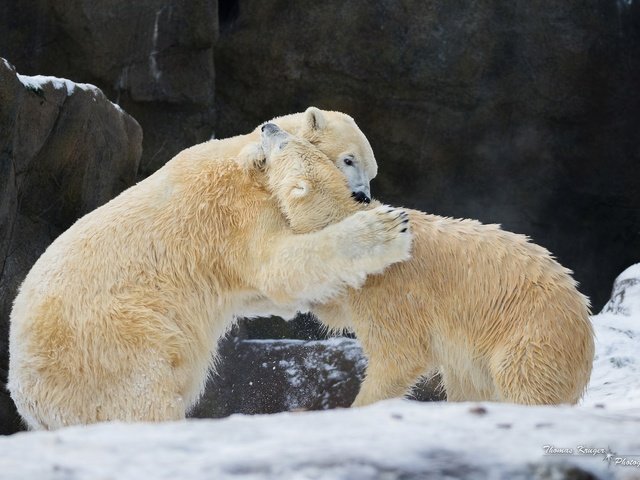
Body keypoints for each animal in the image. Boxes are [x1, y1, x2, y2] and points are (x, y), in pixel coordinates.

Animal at [7, 114, 410, 430]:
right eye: (349, 160)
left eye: (371, 171)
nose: (362, 196)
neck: (252, 158)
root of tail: (27, 398)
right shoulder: (239, 209)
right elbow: (278, 266)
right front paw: (388, 229)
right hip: (115, 341)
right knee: (142, 399)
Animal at [255, 127, 596, 404]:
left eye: (284, 143)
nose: (268, 126)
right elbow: (336, 305)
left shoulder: (390, 291)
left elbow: (399, 356)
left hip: (531, 335)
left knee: (523, 381)